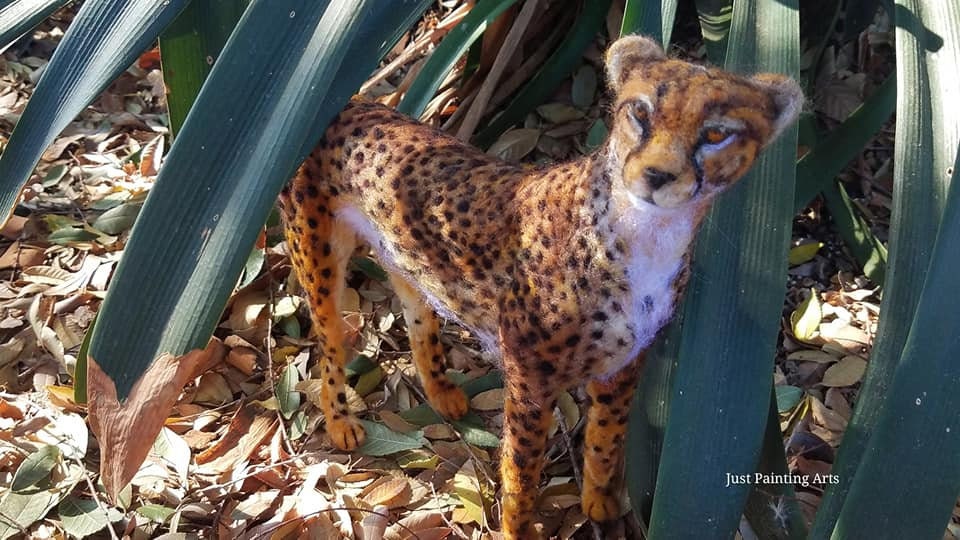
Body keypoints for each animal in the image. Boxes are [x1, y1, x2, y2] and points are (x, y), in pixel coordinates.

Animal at [278, 35, 802, 538]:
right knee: (329, 344)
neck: (645, 236)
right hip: (318, 259)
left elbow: (606, 440)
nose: (657, 175)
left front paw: (600, 504)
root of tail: (351, 102)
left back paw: (442, 392)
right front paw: (517, 529)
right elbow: (521, 472)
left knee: (418, 317)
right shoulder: (529, 380)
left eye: (716, 133)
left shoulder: (624, 364)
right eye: (640, 112)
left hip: (406, 257)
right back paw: (341, 422)